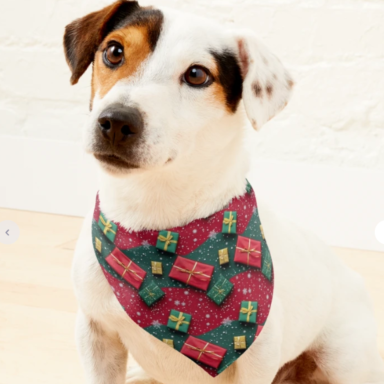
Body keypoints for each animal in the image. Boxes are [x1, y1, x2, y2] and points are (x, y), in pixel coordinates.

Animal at [64, 1, 384, 382]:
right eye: (114, 51)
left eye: (197, 75)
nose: (116, 121)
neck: (156, 221)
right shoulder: (96, 333)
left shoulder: (257, 358)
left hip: (343, 356)